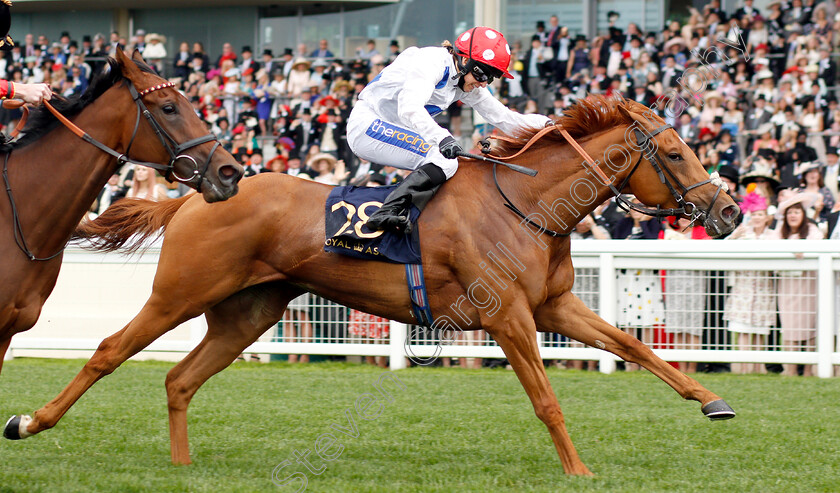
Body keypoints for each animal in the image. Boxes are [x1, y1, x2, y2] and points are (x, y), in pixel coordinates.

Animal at [8, 95, 740, 472]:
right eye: (674, 153)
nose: (729, 211)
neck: (524, 204)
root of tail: (194, 194)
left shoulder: (553, 305)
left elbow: (636, 346)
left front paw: (712, 401)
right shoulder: (508, 315)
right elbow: (547, 399)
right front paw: (579, 471)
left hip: (247, 311)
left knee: (179, 379)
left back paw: (185, 468)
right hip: (181, 294)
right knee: (109, 351)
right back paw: (29, 420)